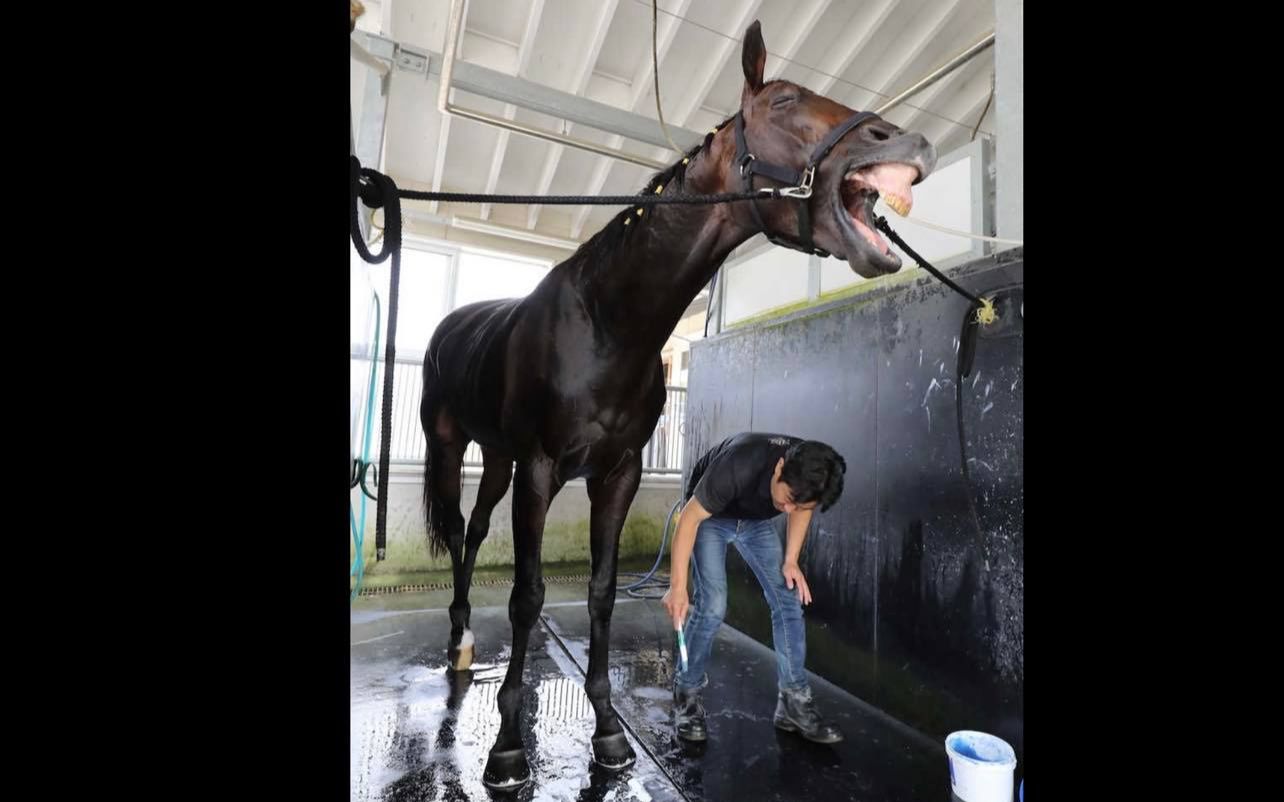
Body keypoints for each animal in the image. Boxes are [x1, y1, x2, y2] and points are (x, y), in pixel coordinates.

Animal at [421, 18, 934, 790]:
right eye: (783, 99)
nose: (908, 144)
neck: (607, 323)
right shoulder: (541, 469)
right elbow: (527, 595)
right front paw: (509, 746)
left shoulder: (617, 473)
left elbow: (602, 592)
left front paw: (607, 731)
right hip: (454, 449)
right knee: (457, 532)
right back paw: (457, 642)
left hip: (499, 459)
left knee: (475, 533)